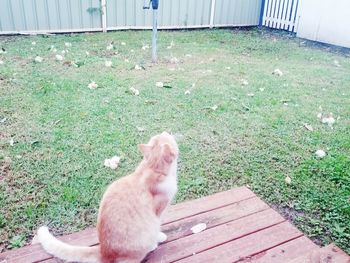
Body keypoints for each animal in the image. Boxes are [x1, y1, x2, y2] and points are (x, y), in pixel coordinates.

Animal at [36, 133, 178, 262]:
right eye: (167, 135)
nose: (169, 132)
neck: (152, 168)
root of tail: (104, 252)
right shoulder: (158, 212)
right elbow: (158, 227)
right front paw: (159, 237)